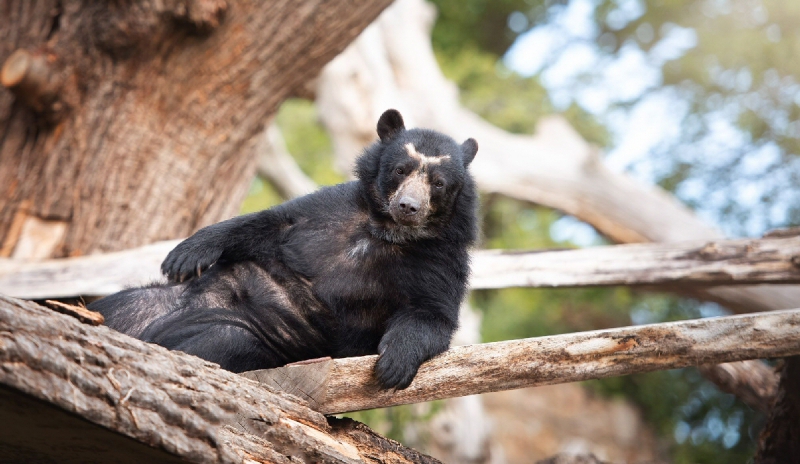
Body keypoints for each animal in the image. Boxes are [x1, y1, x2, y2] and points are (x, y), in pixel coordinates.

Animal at [89, 110, 476, 390]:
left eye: (439, 184)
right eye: (400, 170)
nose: (409, 206)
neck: (386, 232)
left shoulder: (440, 260)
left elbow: (432, 313)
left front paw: (393, 366)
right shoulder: (328, 207)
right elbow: (269, 223)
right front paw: (185, 257)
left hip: (237, 333)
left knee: (218, 341)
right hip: (144, 302)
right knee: (116, 308)